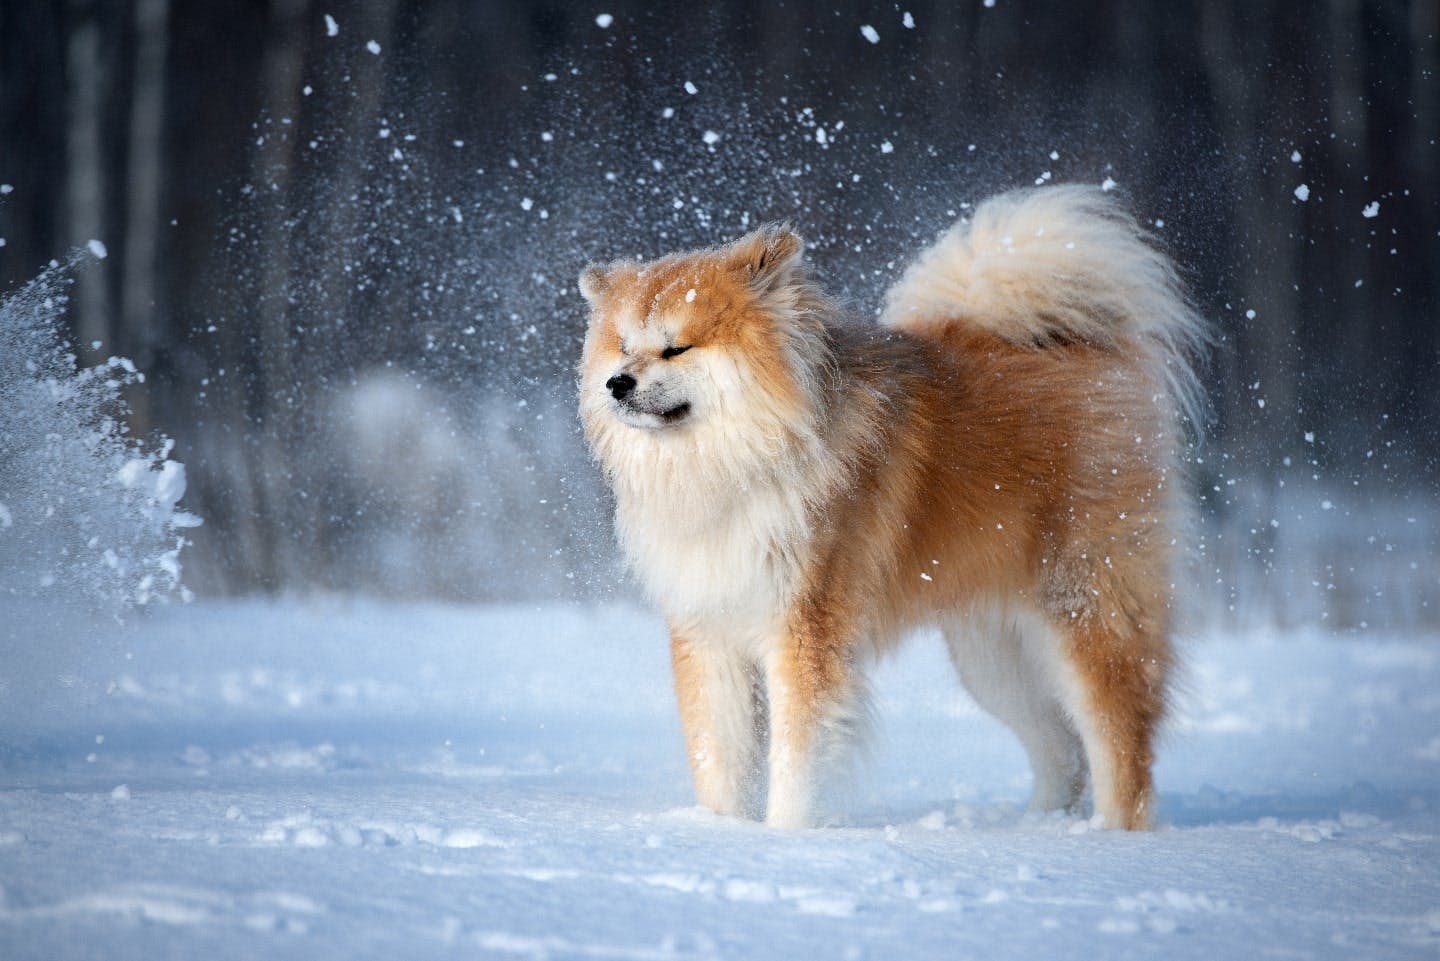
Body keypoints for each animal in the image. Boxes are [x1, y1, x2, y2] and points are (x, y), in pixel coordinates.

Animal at [578, 184, 1209, 829]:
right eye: (622, 346)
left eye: (676, 347)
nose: (617, 383)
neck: (733, 467)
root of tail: (1085, 353)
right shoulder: (711, 635)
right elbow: (720, 760)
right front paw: (723, 832)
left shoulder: (804, 632)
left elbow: (796, 764)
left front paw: (783, 837)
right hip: (992, 652)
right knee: (1062, 750)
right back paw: (1036, 829)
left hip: (1085, 606)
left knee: (1118, 742)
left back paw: (1108, 837)